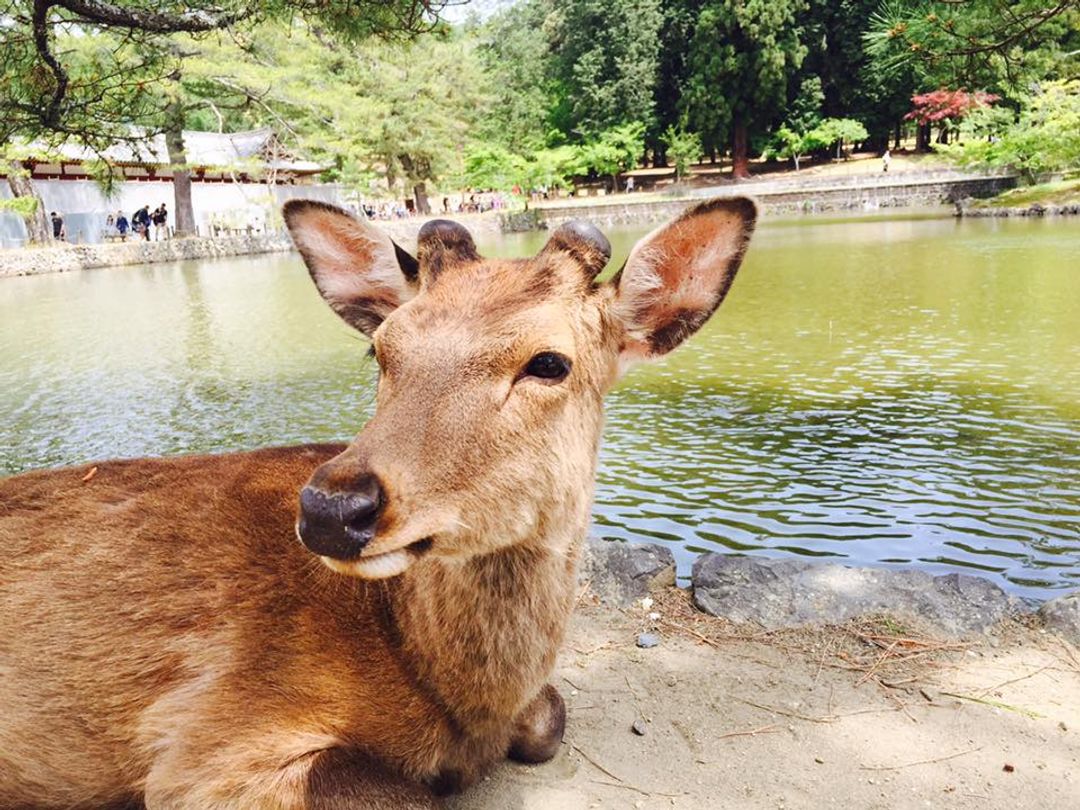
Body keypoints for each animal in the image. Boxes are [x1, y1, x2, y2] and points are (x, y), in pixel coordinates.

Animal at [0, 198, 756, 810]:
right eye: (379, 348)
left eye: (549, 362)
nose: (331, 511)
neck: (448, 694)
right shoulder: (203, 749)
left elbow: (548, 720)